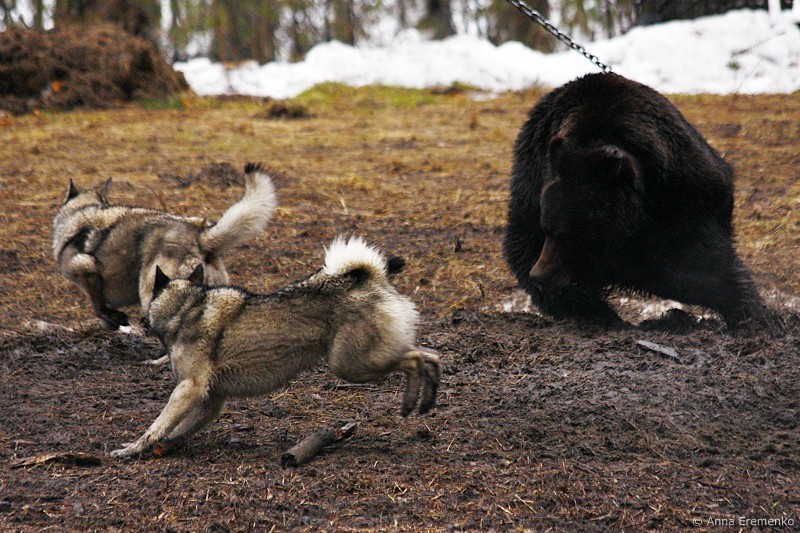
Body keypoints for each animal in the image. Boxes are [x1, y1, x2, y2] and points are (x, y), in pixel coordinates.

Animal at [110, 236, 441, 458]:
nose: (137, 321)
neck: (184, 307)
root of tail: (367, 276)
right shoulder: (212, 399)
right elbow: (178, 428)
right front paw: (163, 445)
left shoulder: (189, 389)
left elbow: (157, 425)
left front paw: (133, 448)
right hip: (359, 362)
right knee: (432, 356)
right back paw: (424, 401)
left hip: (351, 365)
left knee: (417, 357)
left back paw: (412, 402)